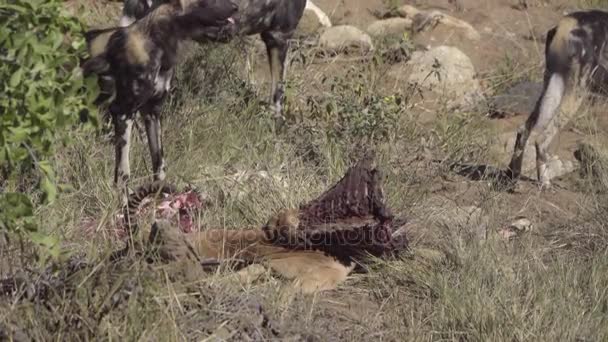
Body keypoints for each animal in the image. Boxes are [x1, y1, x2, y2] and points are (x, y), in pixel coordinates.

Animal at [82, 0, 238, 192]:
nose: (236, 7)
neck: (158, 42)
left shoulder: (152, 113)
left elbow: (159, 165)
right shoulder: (123, 113)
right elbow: (124, 173)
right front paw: (125, 200)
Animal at [506, 10, 608, 190]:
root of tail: (567, 23)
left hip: (551, 84)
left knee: (524, 130)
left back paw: (514, 178)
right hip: (576, 92)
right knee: (541, 139)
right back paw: (544, 182)